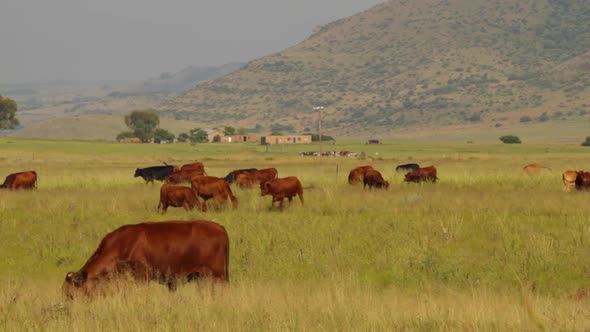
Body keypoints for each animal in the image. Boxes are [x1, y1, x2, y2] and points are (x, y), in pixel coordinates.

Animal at [63, 220, 230, 298]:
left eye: (71, 295)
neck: (122, 245)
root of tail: (220, 227)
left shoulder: (142, 278)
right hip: (202, 277)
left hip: (217, 276)